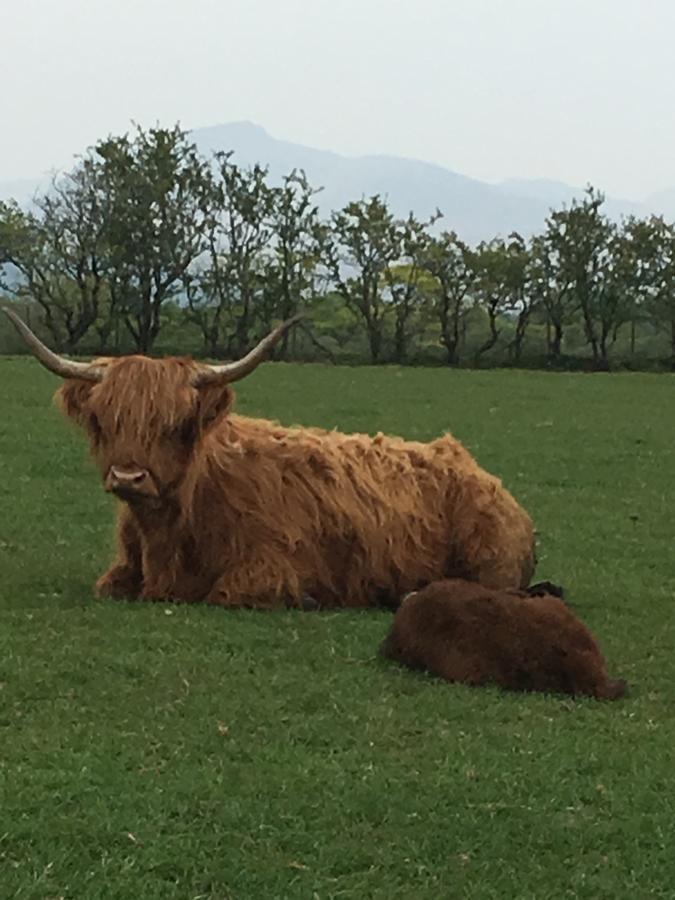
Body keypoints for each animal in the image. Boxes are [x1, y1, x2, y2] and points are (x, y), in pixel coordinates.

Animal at [0, 310, 540, 612]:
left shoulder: (271, 564)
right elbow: (107, 587)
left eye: (176, 424)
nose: (129, 475)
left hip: (490, 566)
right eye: (103, 420)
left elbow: (227, 593)